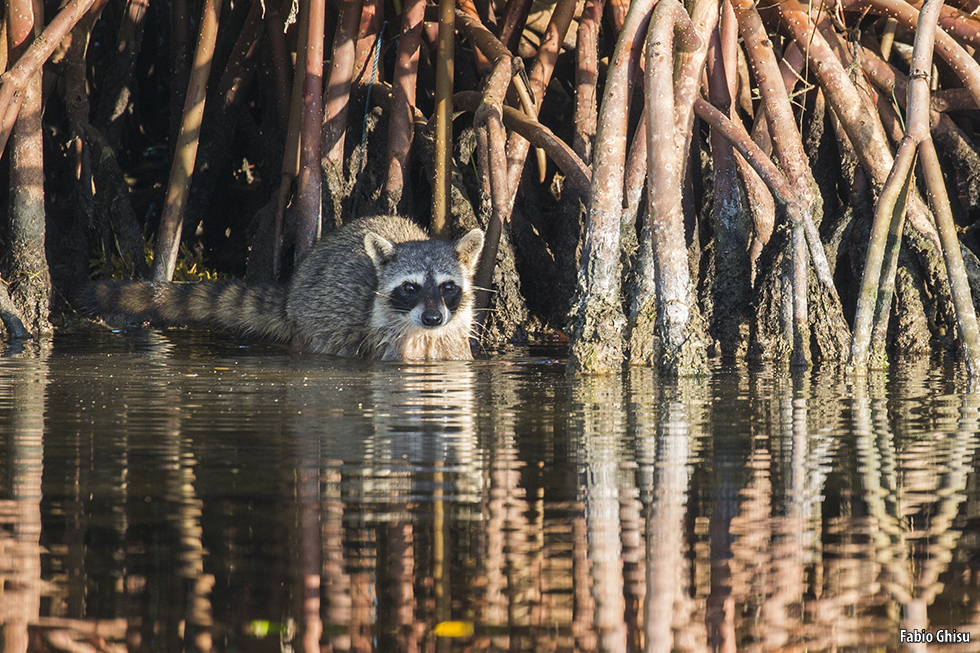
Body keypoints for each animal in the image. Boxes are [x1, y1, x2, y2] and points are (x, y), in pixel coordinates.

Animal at [85, 218, 486, 362]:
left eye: (448, 287)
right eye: (409, 288)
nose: (433, 318)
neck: (423, 334)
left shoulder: (452, 343)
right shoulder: (381, 342)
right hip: (314, 324)